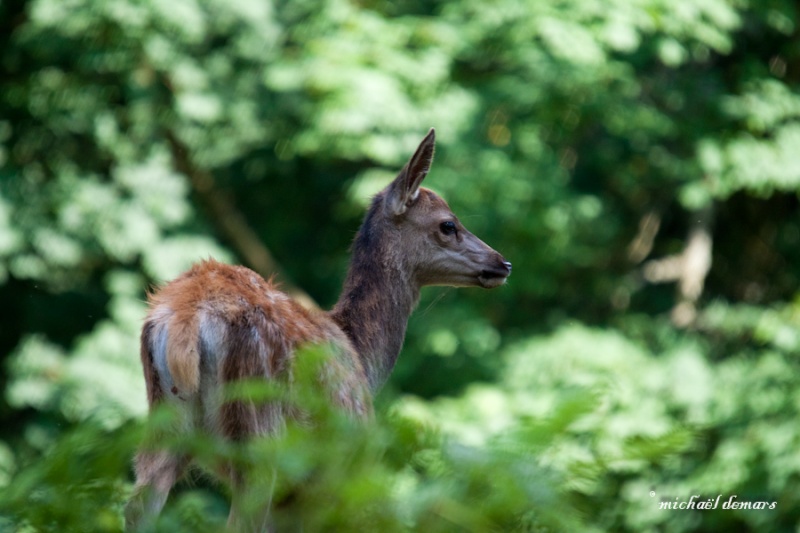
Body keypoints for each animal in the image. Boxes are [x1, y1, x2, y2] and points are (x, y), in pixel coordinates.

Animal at [125, 128, 512, 528]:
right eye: (448, 224)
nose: (502, 263)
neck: (362, 356)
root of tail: (187, 315)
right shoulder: (343, 472)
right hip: (259, 433)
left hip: (165, 425)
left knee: (137, 504)